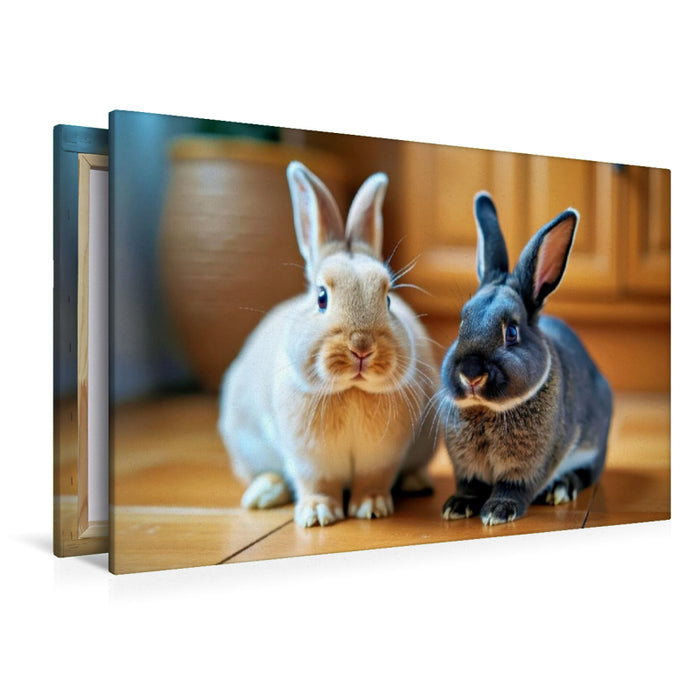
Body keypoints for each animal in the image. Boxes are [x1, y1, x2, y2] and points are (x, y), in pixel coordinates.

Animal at [218, 161, 439, 528]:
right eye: (321, 298)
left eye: (388, 299)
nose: (361, 347)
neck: (351, 392)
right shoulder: (308, 460)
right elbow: (316, 484)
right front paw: (318, 514)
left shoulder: (382, 458)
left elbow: (373, 480)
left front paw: (372, 508)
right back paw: (263, 495)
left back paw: (417, 482)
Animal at [438, 191, 612, 526]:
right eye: (462, 324)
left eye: (512, 333)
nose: (471, 373)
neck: (488, 409)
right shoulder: (467, 466)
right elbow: (470, 485)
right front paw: (456, 506)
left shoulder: (530, 464)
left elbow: (515, 486)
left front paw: (498, 511)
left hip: (594, 449)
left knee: (586, 475)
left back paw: (559, 490)